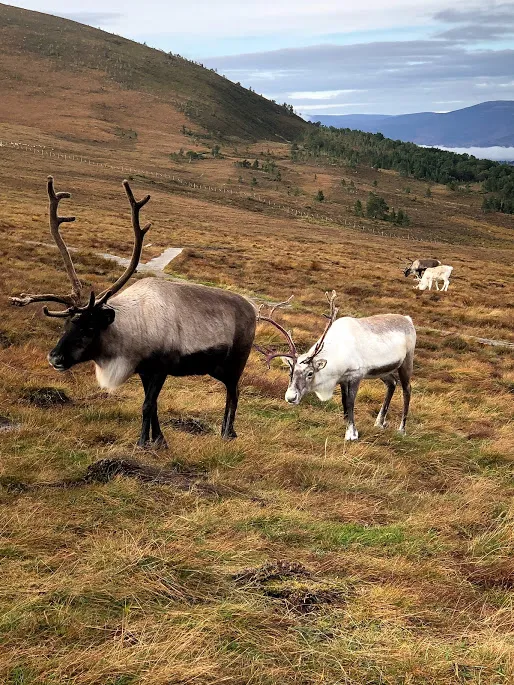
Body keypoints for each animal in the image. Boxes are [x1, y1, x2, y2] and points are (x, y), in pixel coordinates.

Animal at [10, 176, 256, 448]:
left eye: (89, 328)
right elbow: (154, 406)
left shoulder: (160, 368)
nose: (54, 358)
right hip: (217, 369)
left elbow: (147, 405)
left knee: (233, 394)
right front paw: (159, 441)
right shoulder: (144, 371)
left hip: (235, 364)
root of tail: (253, 310)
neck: (130, 329)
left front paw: (142, 444)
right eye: (67, 324)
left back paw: (228, 433)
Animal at [255, 292, 416, 440]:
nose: (290, 397)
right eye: (290, 372)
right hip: (383, 371)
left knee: (407, 390)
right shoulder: (343, 379)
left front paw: (352, 434)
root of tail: (408, 319)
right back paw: (379, 423)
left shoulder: (356, 375)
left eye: (310, 373)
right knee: (392, 383)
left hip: (407, 361)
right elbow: (344, 403)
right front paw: (348, 427)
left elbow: (350, 403)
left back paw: (402, 429)